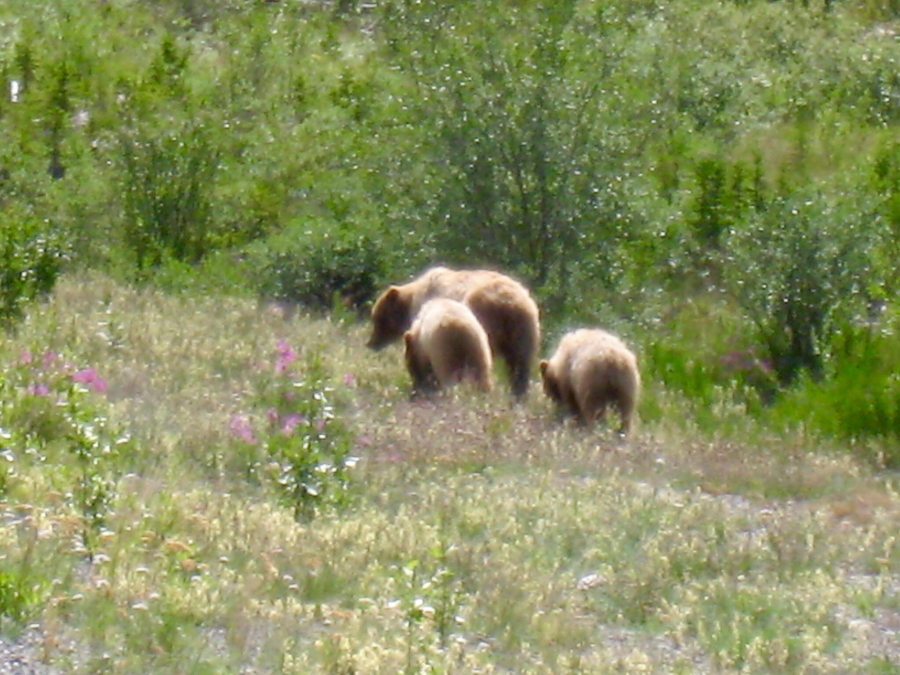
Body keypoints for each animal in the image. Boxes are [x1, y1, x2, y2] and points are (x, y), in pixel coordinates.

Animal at [367, 266, 540, 398]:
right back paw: (518, 396)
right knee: (520, 366)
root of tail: (510, 304)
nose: (371, 343)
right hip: (525, 330)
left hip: (483, 321)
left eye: (377, 319)